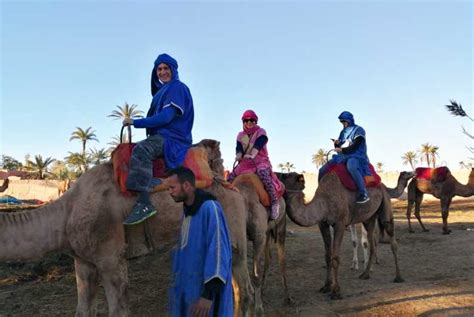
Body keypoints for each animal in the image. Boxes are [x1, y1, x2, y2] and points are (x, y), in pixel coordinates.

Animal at [0, 139, 254, 316]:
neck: (65, 213)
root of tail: (230, 185)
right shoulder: (83, 261)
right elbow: (83, 310)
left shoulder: (111, 258)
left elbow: (119, 310)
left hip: (234, 231)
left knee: (245, 289)